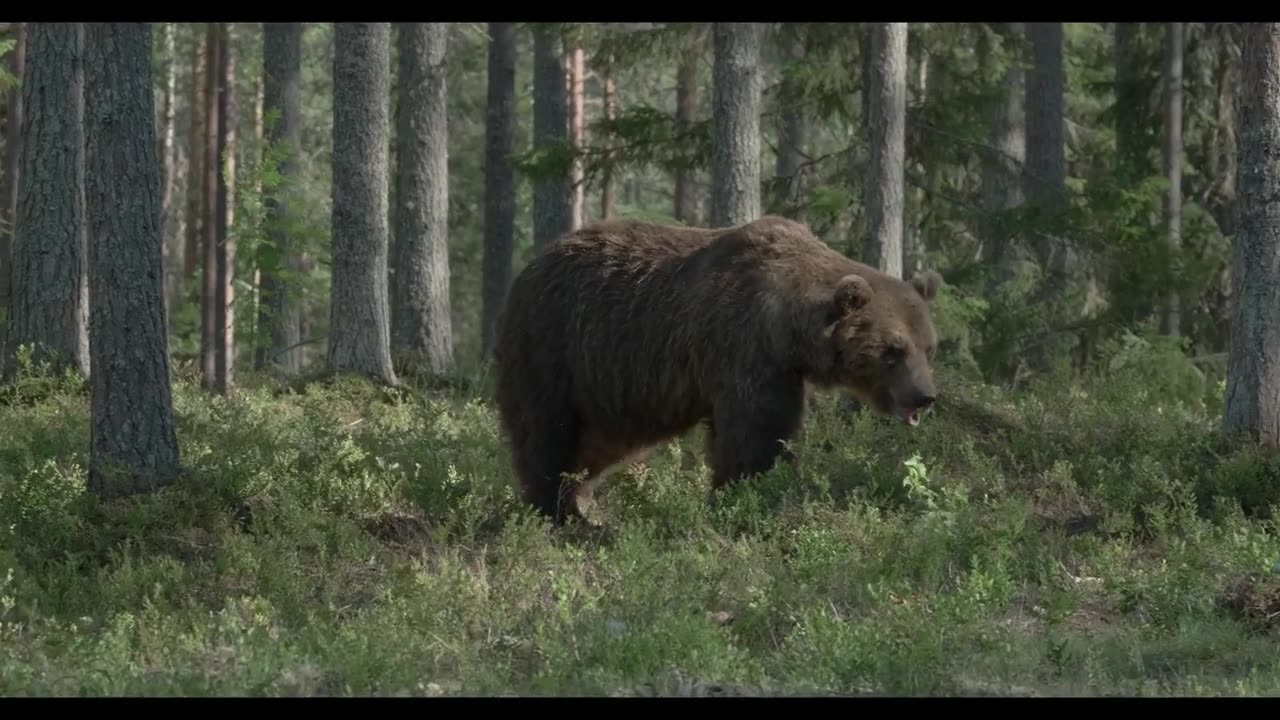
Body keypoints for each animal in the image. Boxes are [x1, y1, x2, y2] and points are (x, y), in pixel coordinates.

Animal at [488, 212, 942, 520]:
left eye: (929, 347)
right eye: (893, 349)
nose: (925, 395)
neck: (789, 327)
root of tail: (529, 266)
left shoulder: (782, 368)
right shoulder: (746, 350)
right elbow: (754, 435)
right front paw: (747, 496)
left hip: (607, 393)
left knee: (590, 449)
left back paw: (581, 507)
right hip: (555, 347)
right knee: (546, 433)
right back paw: (558, 514)